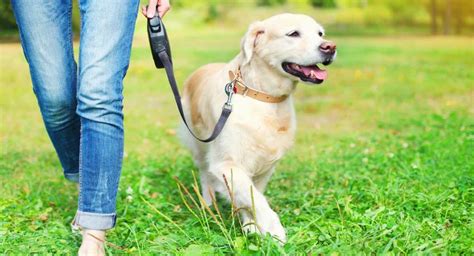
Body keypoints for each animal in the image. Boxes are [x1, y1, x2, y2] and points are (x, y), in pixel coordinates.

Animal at [179, 13, 336, 242]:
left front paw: (251, 225)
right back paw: (208, 204)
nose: (330, 47)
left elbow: (251, 195)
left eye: (320, 34)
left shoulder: (265, 166)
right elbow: (255, 197)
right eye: (293, 33)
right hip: (199, 145)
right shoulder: (226, 163)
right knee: (205, 175)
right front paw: (274, 230)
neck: (263, 95)